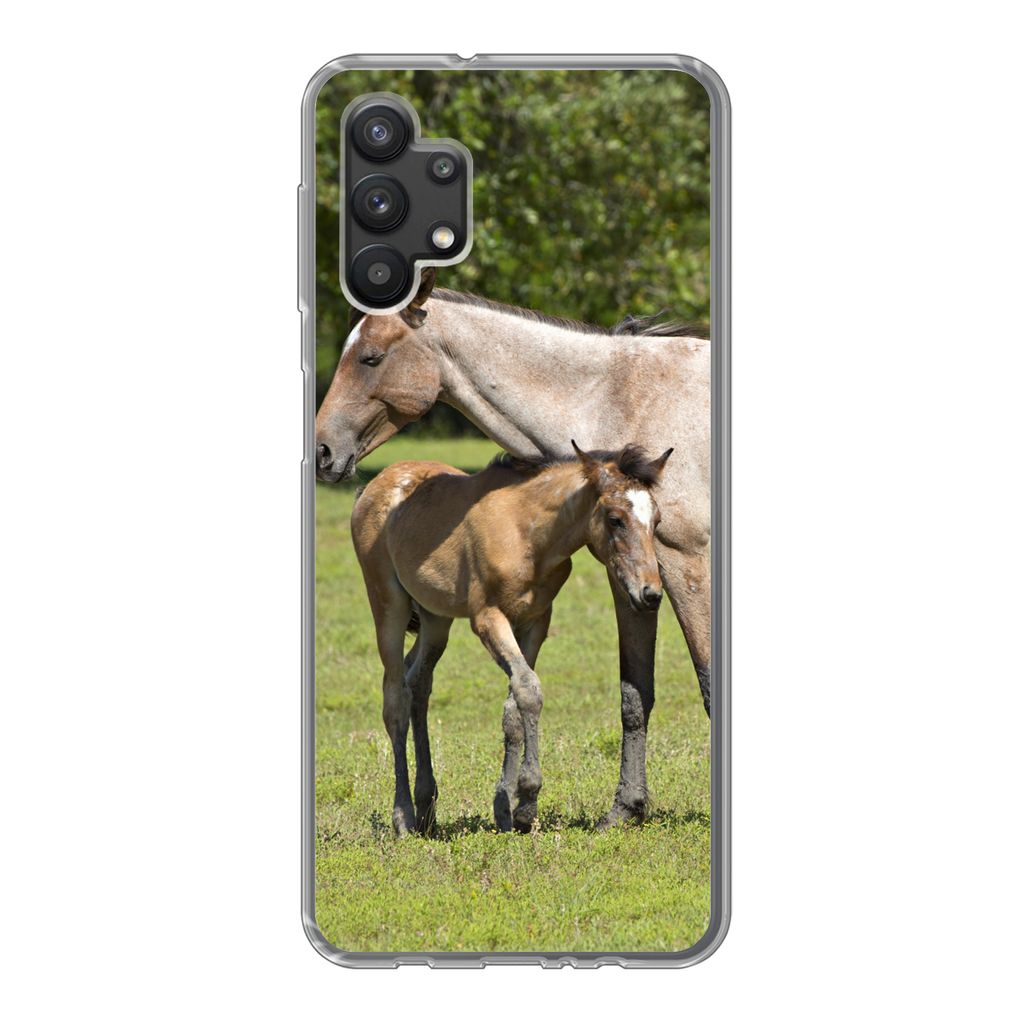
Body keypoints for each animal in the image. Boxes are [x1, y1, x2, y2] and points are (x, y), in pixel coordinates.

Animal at [351, 442, 672, 835]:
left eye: (657, 521)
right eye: (615, 519)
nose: (650, 594)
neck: (528, 535)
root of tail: (373, 485)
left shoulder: (535, 621)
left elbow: (514, 706)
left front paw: (506, 809)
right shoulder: (488, 617)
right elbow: (529, 690)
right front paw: (527, 799)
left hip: (435, 617)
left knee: (419, 683)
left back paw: (426, 805)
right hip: (387, 603)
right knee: (395, 696)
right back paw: (404, 816)